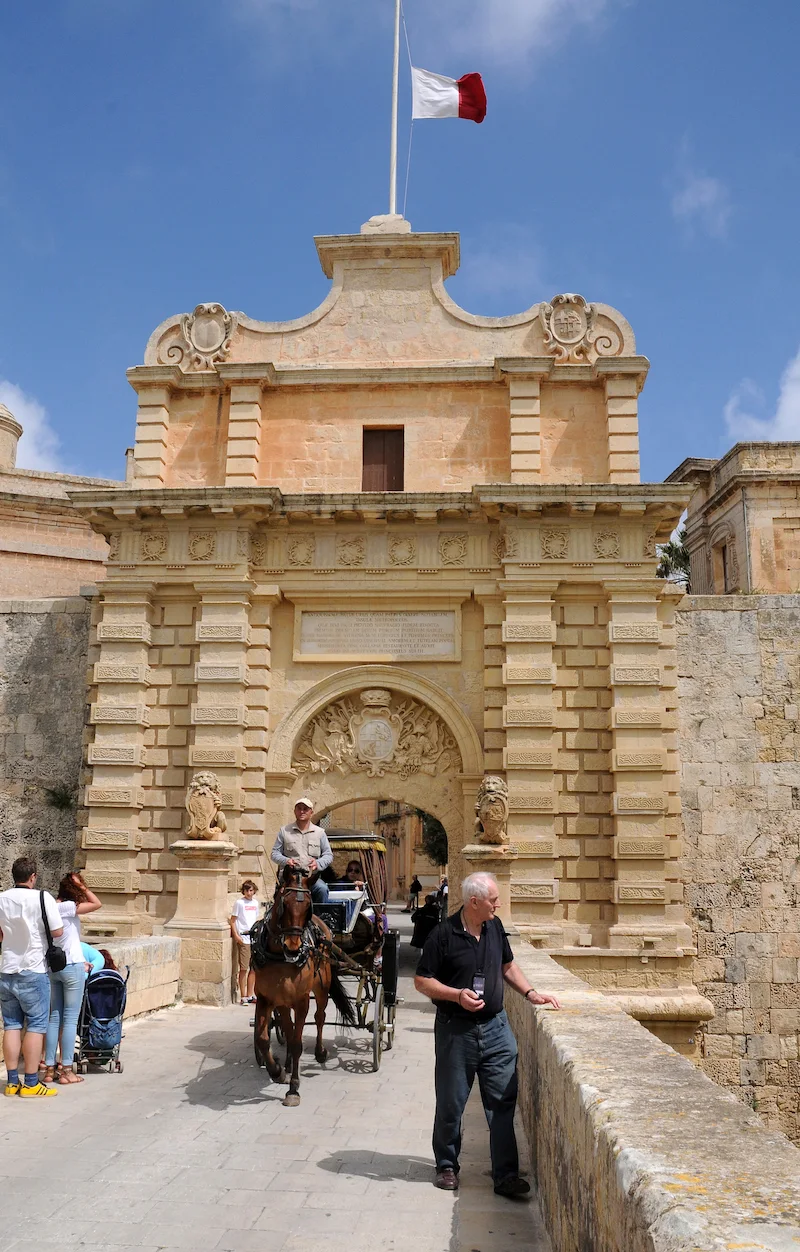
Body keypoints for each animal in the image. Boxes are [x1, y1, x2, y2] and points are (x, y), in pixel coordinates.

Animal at [251, 871, 355, 1106]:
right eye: (284, 903)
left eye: (308, 906)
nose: (293, 946)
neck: (280, 956)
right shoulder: (266, 998)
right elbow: (263, 1039)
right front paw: (277, 1071)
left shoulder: (301, 1001)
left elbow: (298, 1042)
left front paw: (293, 1089)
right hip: (282, 1002)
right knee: (288, 1028)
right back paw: (288, 1063)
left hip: (322, 987)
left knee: (320, 1017)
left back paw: (319, 1052)